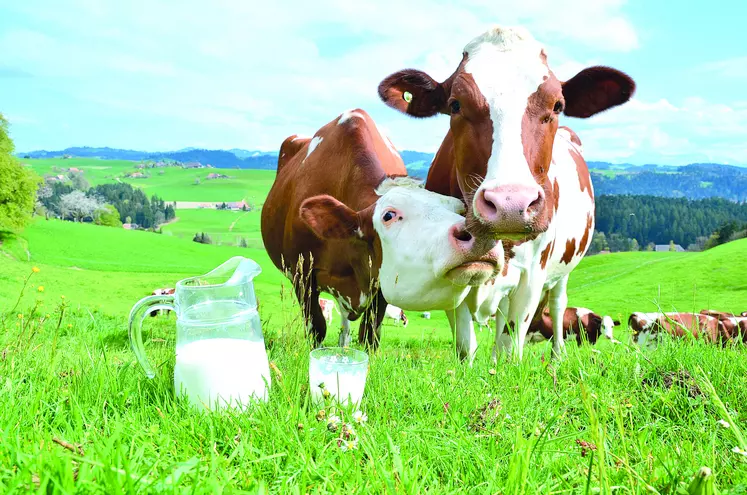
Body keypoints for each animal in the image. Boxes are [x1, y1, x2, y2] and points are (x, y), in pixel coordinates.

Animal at [260, 108, 506, 348]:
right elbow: (317, 329)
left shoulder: (379, 284)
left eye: (460, 210)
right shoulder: (302, 274)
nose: (480, 234)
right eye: (389, 215)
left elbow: (369, 335)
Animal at [376, 24, 636, 364]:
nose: (510, 205)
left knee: (557, 305)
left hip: (562, 270)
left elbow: (509, 346)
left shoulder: (532, 277)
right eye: (455, 104)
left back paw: (557, 357)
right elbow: (466, 344)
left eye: (557, 105)